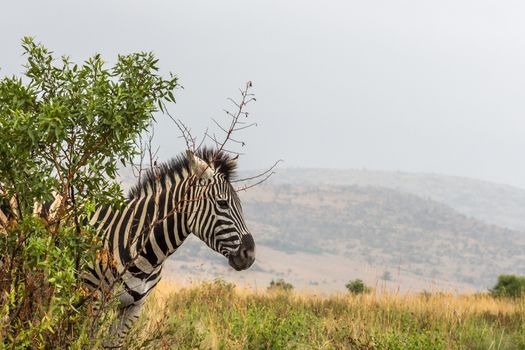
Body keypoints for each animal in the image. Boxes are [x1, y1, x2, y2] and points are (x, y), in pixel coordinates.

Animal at [0, 148, 255, 348]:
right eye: (222, 204)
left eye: (240, 205)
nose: (250, 254)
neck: (145, 254)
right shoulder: (93, 300)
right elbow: (84, 341)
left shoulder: (133, 307)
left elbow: (112, 345)